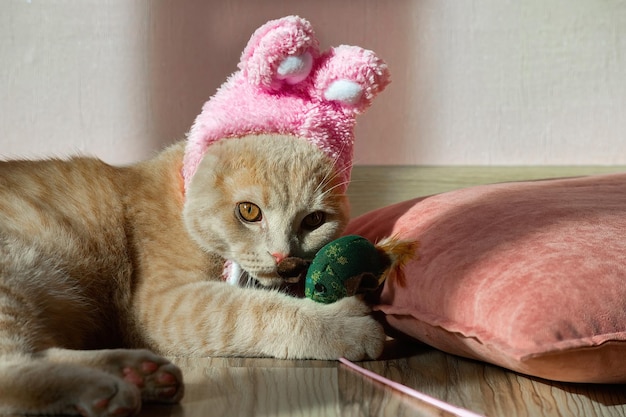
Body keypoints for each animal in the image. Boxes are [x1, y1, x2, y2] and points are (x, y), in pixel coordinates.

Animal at [0, 134, 386, 416]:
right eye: (248, 211)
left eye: (314, 220)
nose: (285, 260)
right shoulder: (163, 304)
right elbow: (253, 310)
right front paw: (338, 324)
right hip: (16, 275)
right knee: (12, 367)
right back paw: (105, 386)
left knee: (38, 352)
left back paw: (138, 373)